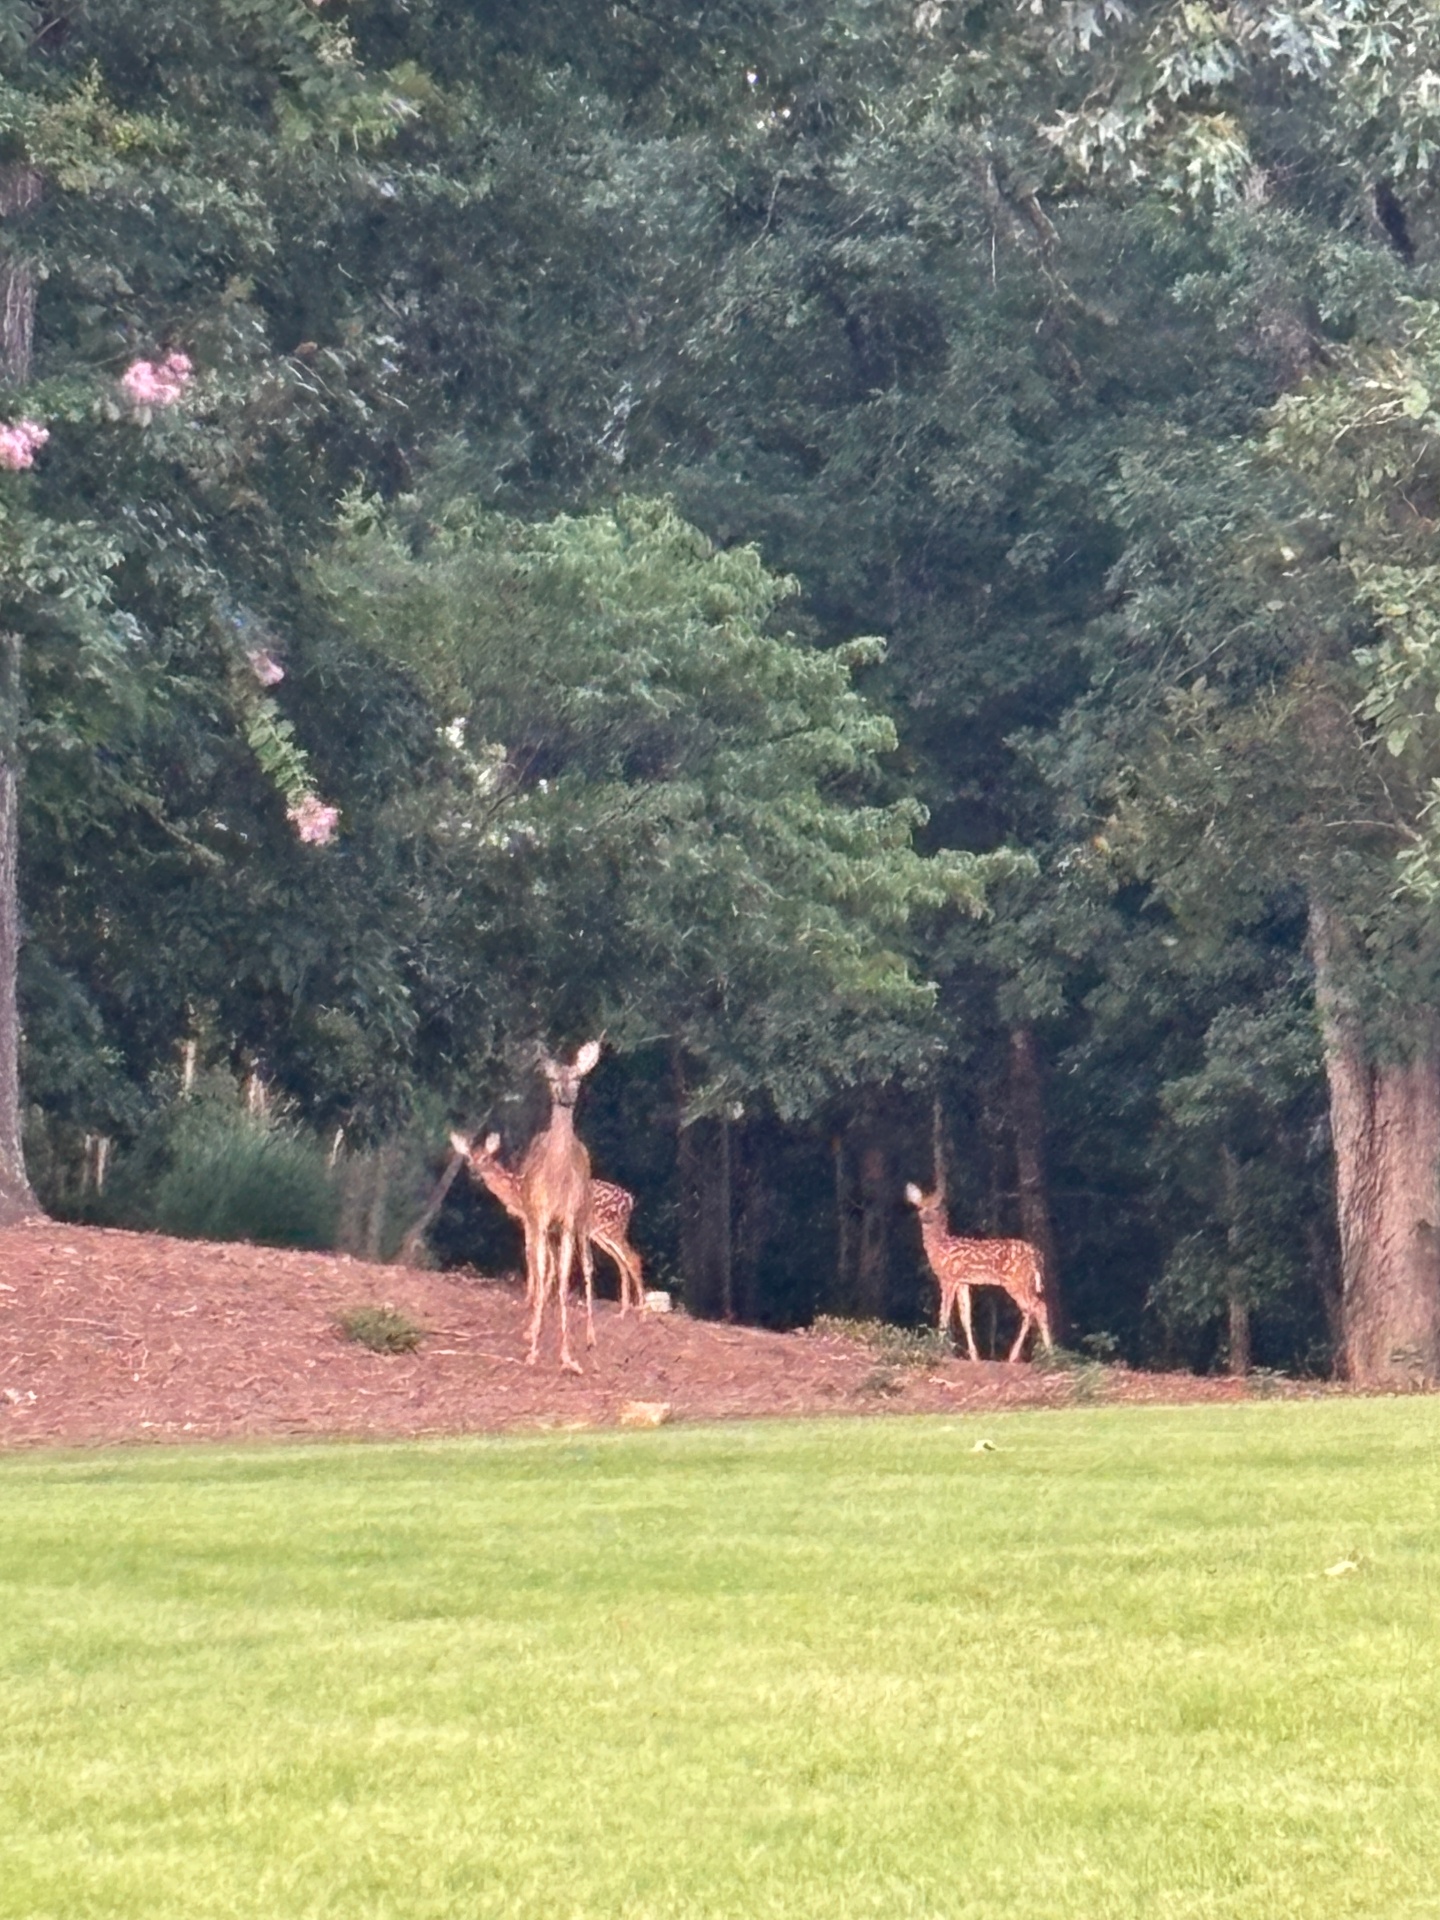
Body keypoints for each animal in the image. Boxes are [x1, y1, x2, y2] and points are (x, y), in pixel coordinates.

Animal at [450, 1130, 646, 1315]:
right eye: (468, 1158)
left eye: (485, 1157)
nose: (474, 1172)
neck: (515, 1190)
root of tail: (630, 1200)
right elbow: (547, 1258)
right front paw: (545, 1299)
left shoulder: (532, 1219)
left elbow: (532, 1255)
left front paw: (532, 1299)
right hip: (600, 1233)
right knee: (622, 1261)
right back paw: (623, 1311)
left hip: (612, 1229)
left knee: (633, 1258)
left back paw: (641, 1310)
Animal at [904, 1182, 1053, 1363]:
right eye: (920, 1206)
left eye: (935, 1207)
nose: (924, 1217)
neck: (940, 1247)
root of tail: (1036, 1255)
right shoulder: (963, 1282)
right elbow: (966, 1318)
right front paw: (974, 1357)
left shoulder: (948, 1278)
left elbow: (944, 1315)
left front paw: (938, 1348)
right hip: (1027, 1282)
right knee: (1034, 1308)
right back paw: (1045, 1353)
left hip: (1016, 1281)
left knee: (1036, 1307)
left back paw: (1026, 1355)